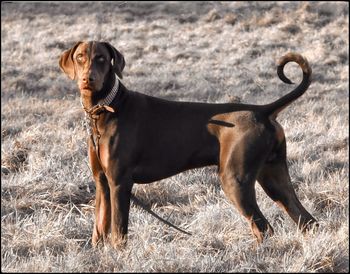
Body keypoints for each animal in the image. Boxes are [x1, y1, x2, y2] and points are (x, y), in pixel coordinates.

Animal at [59, 41, 318, 248]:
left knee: (264, 228)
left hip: (235, 180)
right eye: (80, 57)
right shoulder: (102, 183)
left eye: (102, 58)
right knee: (306, 220)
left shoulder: (119, 183)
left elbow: (118, 233)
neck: (105, 110)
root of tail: (263, 111)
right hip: (273, 176)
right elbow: (99, 229)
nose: (88, 79)